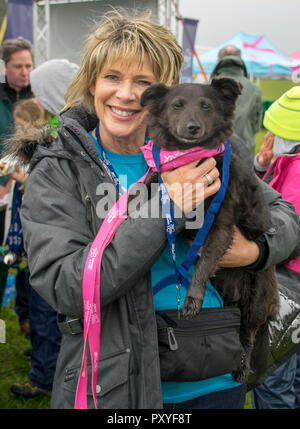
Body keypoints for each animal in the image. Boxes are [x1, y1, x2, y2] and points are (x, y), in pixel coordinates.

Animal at [140, 77, 278, 382]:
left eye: (206, 106)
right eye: (177, 105)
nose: (192, 128)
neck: (190, 157)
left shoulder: (220, 224)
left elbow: (202, 266)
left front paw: (192, 300)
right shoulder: (162, 181)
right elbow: (145, 183)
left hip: (255, 301)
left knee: (249, 336)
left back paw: (241, 368)